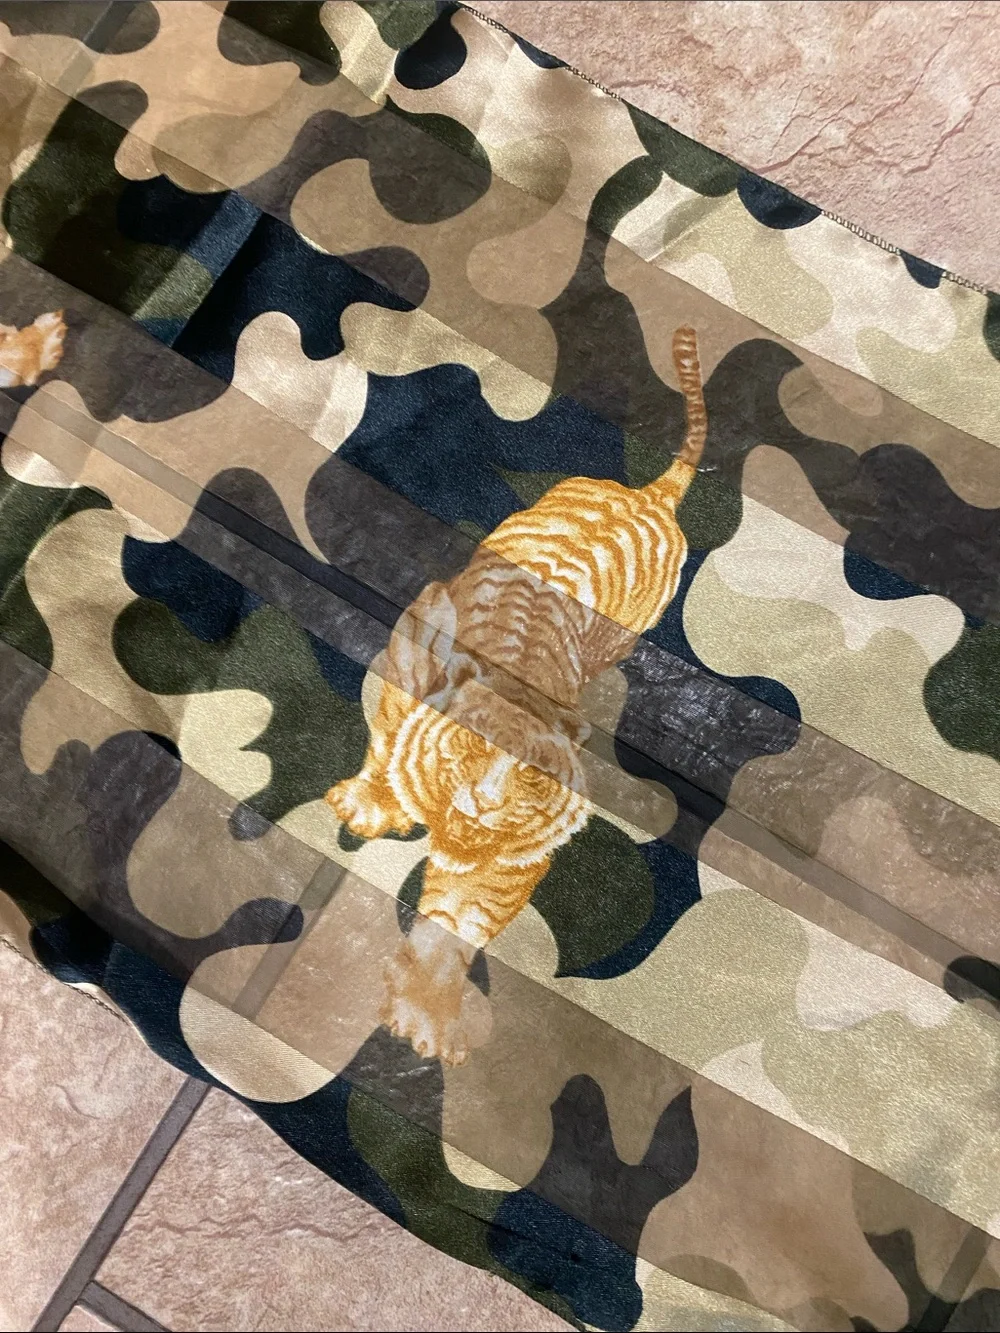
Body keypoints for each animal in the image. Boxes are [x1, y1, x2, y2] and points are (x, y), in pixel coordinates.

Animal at [326, 326, 708, 1064]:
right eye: (473, 745)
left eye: (533, 777)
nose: (486, 802)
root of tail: (652, 495)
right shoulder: (401, 663)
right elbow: (385, 746)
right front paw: (369, 803)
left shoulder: (504, 868)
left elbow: (454, 927)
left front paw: (425, 1018)